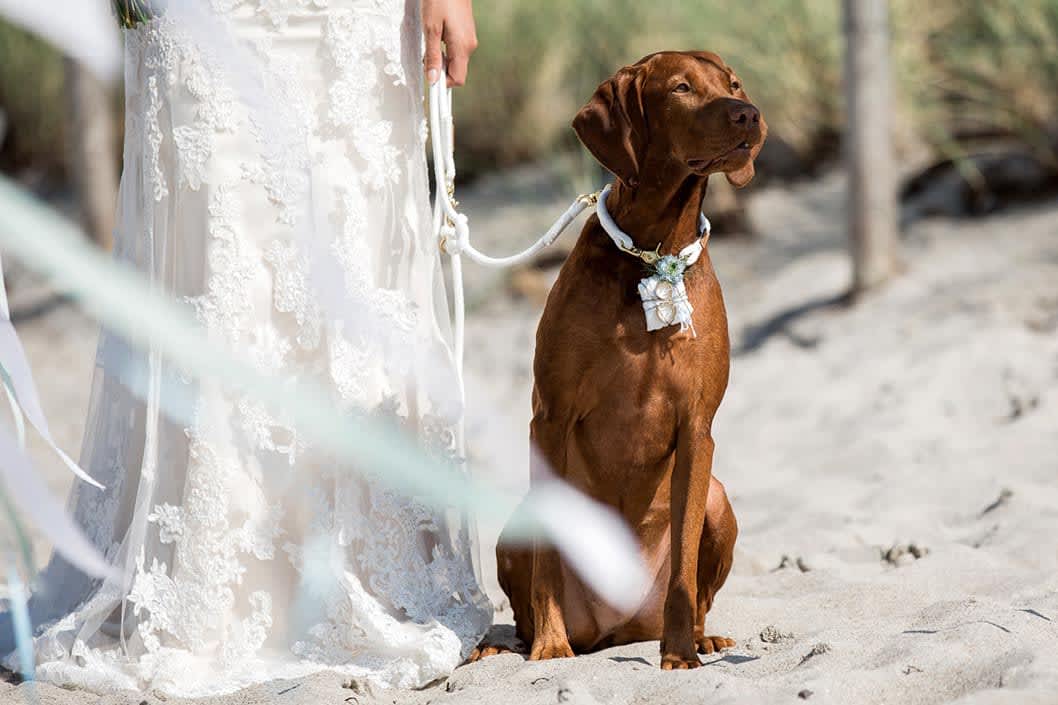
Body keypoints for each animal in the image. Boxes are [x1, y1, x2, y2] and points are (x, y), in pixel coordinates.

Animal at [476, 52, 765, 669]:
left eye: (733, 84)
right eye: (680, 88)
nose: (749, 115)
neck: (653, 255)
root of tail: (616, 628)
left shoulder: (697, 428)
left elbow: (684, 564)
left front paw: (680, 654)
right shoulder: (550, 417)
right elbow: (547, 564)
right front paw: (550, 646)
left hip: (717, 498)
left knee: (698, 587)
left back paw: (702, 636)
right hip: (519, 521)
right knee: (524, 601)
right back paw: (505, 646)